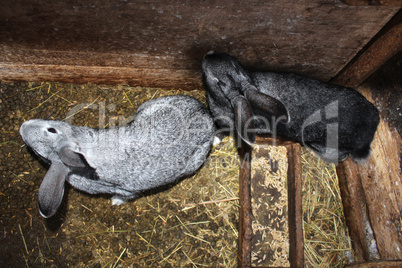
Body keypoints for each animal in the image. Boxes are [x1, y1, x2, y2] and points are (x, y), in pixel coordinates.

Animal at [19, 94, 214, 218]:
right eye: (40, 154)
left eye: (52, 130)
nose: (22, 126)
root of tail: (204, 111)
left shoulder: (126, 190)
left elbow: (124, 196)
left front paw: (115, 202)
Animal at [203, 51, 378, 162]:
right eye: (235, 65)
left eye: (219, 82)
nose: (209, 54)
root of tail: (373, 123)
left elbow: (222, 130)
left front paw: (214, 140)